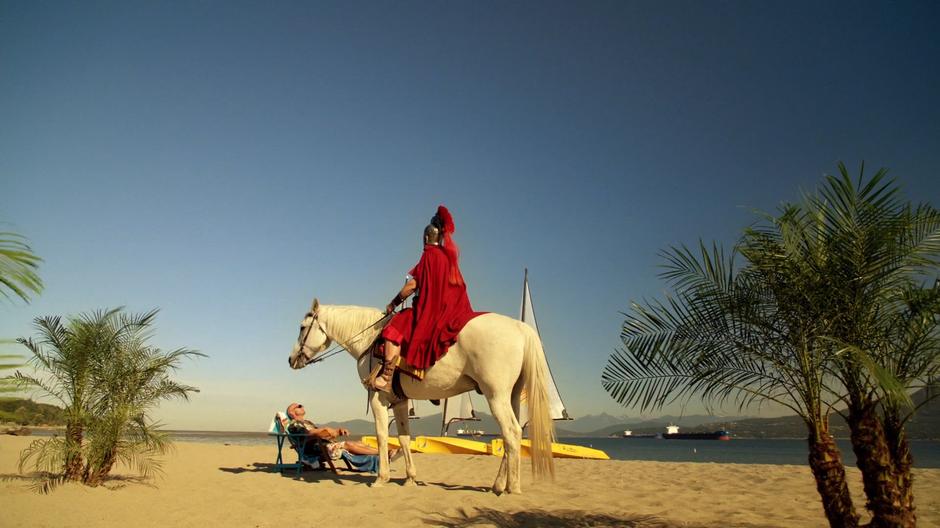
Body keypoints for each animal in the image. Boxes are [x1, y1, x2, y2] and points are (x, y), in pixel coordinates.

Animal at [286, 302, 552, 496]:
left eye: (302, 327)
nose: (291, 359)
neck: (371, 339)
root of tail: (519, 327)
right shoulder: (400, 402)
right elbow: (404, 438)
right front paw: (410, 478)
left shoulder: (378, 400)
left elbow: (382, 436)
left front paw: (381, 478)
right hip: (512, 396)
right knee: (512, 434)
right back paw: (499, 484)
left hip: (495, 395)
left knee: (511, 433)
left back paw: (512, 487)